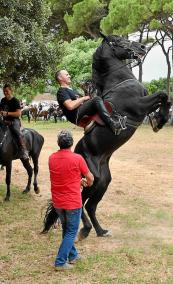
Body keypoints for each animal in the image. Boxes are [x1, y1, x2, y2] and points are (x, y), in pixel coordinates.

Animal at [41, 33, 170, 239]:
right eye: (118, 41)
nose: (142, 47)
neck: (119, 82)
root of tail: (74, 152)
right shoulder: (139, 105)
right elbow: (162, 94)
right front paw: (160, 120)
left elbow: (165, 97)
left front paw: (159, 119)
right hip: (92, 179)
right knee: (81, 202)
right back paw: (85, 229)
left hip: (103, 181)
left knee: (91, 206)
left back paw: (100, 231)